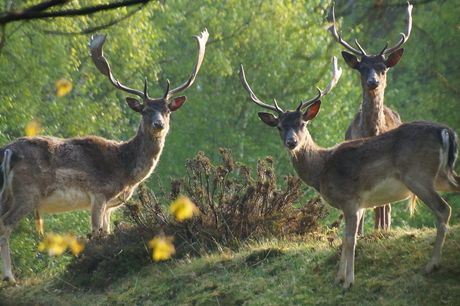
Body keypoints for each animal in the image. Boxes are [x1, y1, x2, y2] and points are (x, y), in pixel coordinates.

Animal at [0, 29, 208, 284]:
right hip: (28, 192)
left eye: (167, 110)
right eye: (145, 110)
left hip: (6, 194)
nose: (158, 124)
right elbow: (97, 233)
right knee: (5, 224)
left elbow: (108, 234)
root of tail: (8, 150)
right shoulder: (98, 194)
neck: (125, 170)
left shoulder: (110, 206)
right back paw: (10, 277)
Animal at [239, 56, 458, 290]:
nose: (292, 142)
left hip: (418, 175)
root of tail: (446, 131)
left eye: (303, 123)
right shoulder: (359, 204)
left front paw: (349, 282)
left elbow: (351, 239)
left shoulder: (350, 198)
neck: (321, 169)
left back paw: (433, 264)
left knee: (443, 209)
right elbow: (343, 238)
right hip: (442, 175)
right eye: (280, 127)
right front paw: (339, 278)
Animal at [328, 1, 414, 232]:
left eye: (383, 68)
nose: (373, 82)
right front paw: (359, 232)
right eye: (361, 69)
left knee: (386, 206)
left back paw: (383, 228)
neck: (372, 132)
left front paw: (379, 230)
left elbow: (381, 204)